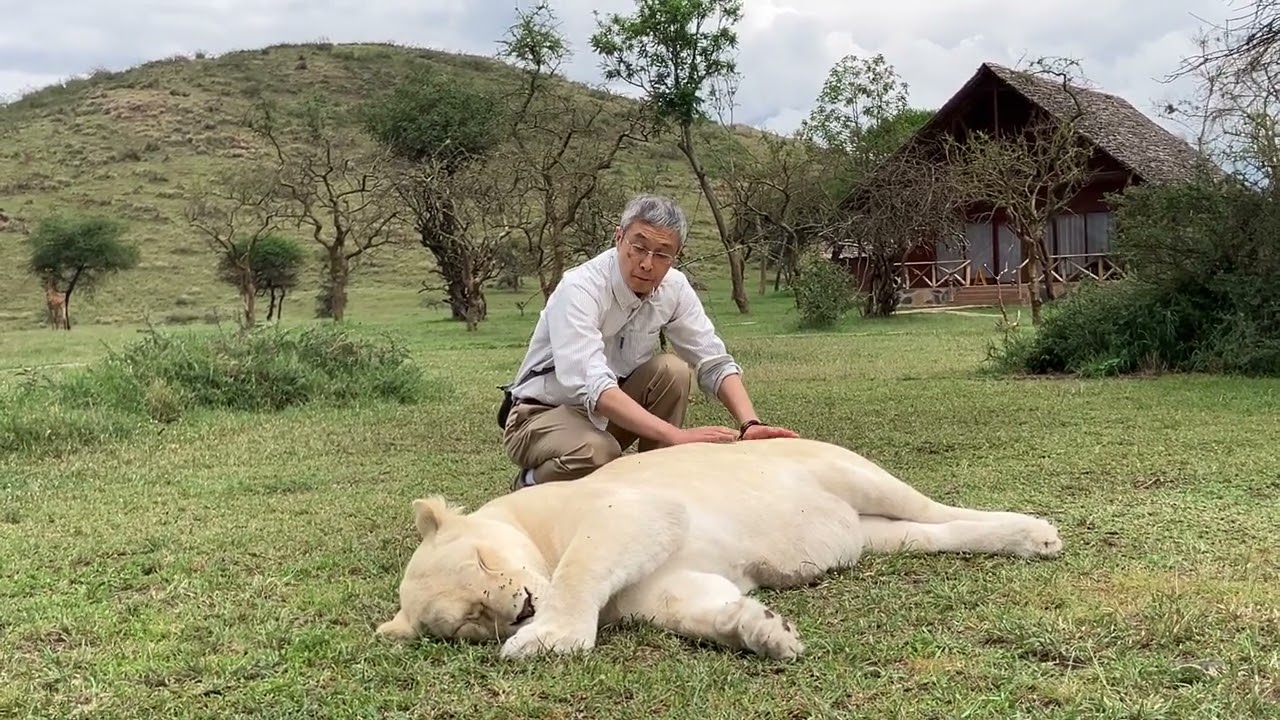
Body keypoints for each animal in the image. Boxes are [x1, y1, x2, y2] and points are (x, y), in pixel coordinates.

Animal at [375, 437, 1062, 661]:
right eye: (469, 620)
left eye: (484, 562)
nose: (516, 608)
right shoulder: (654, 586)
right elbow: (695, 605)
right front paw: (766, 630)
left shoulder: (633, 510)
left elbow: (582, 567)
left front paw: (546, 639)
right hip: (873, 532)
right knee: (924, 533)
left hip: (841, 468)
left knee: (935, 508)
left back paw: (1036, 533)